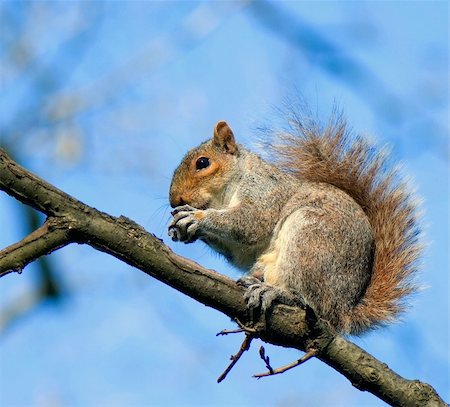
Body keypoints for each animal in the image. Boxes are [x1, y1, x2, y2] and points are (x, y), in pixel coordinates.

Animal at [166, 115, 422, 334]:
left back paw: (277, 293)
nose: (175, 200)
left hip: (309, 241)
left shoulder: (266, 193)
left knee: (310, 301)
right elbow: (239, 251)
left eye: (202, 163)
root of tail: (343, 309)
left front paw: (196, 218)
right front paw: (183, 229)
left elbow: (250, 223)